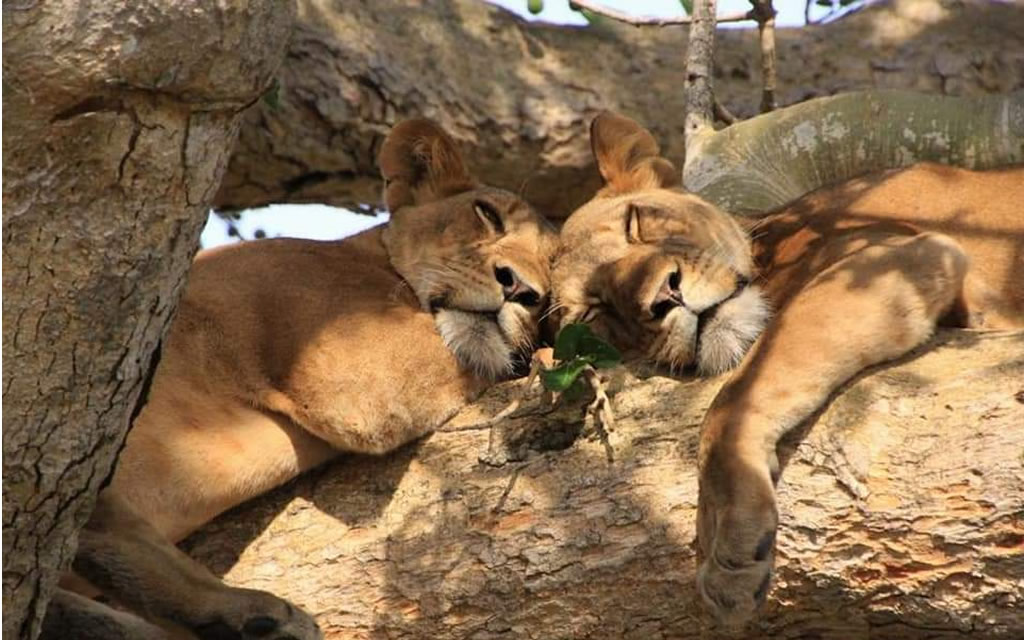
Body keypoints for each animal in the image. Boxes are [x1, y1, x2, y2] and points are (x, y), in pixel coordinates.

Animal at [552, 112, 1024, 626]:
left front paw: (728, 547)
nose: (664, 297)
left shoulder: (906, 255)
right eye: (594, 310)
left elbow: (732, 400)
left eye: (634, 222)